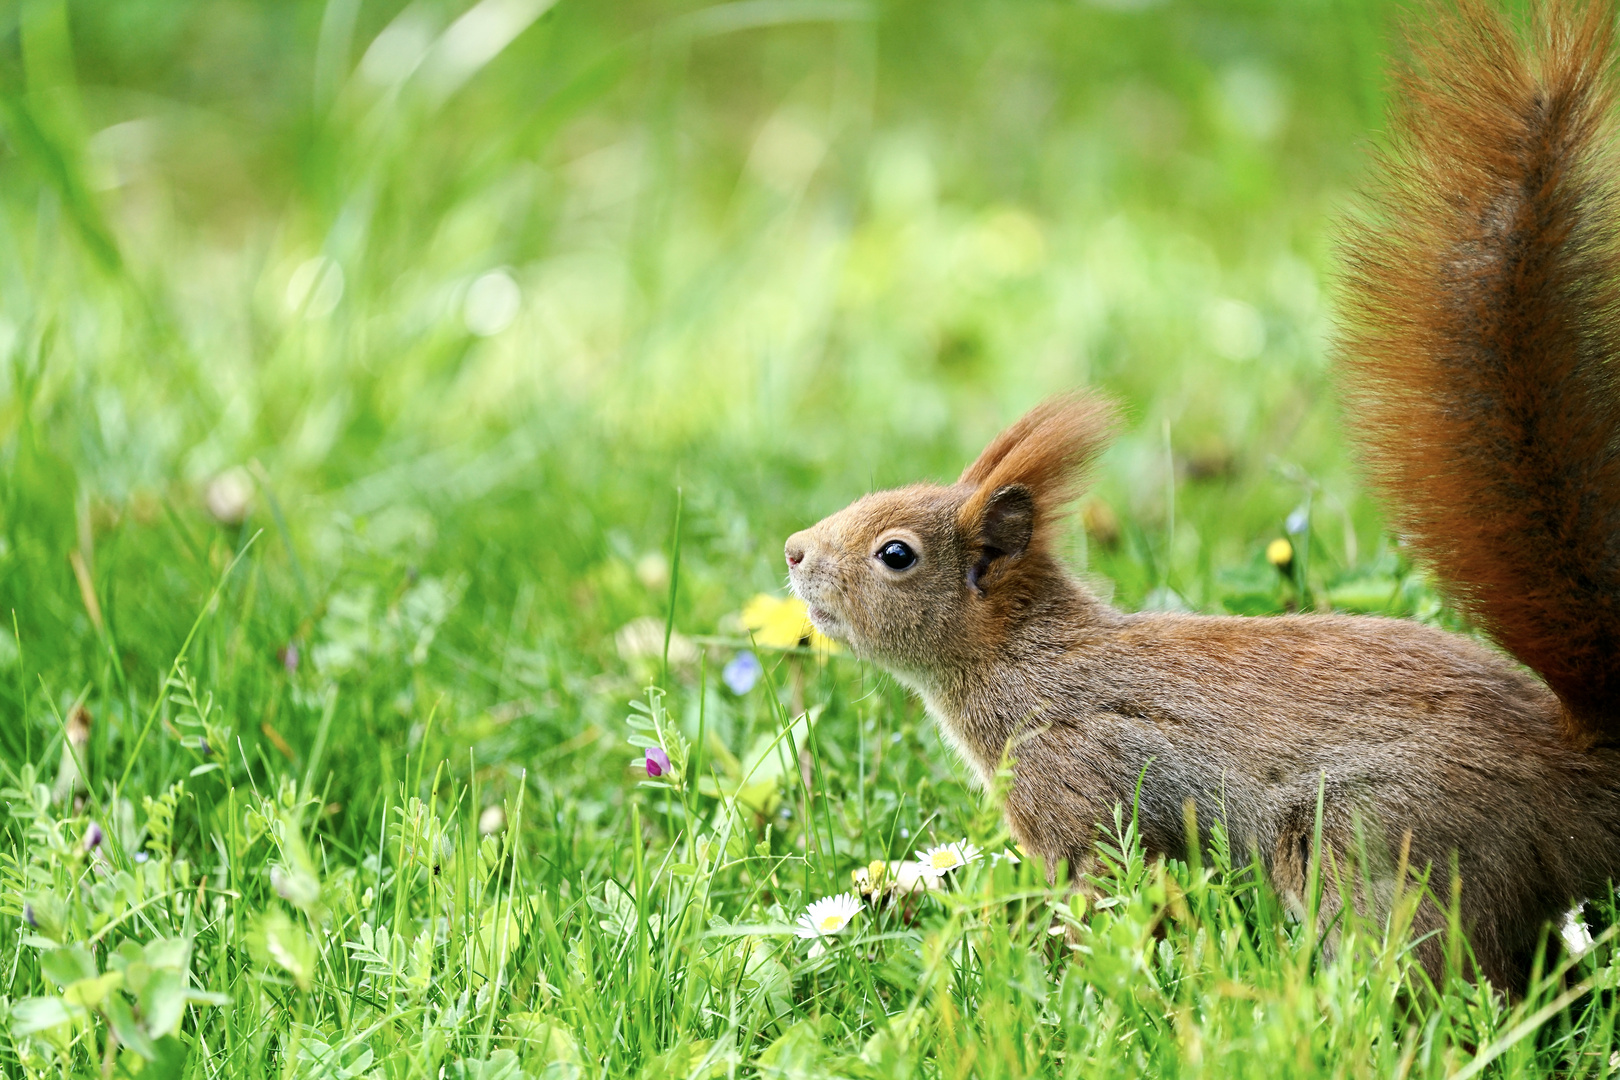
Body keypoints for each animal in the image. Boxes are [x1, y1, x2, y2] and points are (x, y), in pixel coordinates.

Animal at [784, 0, 1620, 997]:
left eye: (896, 554)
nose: (794, 552)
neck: (1027, 662)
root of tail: (1573, 775)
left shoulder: (1078, 782)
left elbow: (1093, 897)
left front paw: (1058, 979)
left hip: (1382, 845)